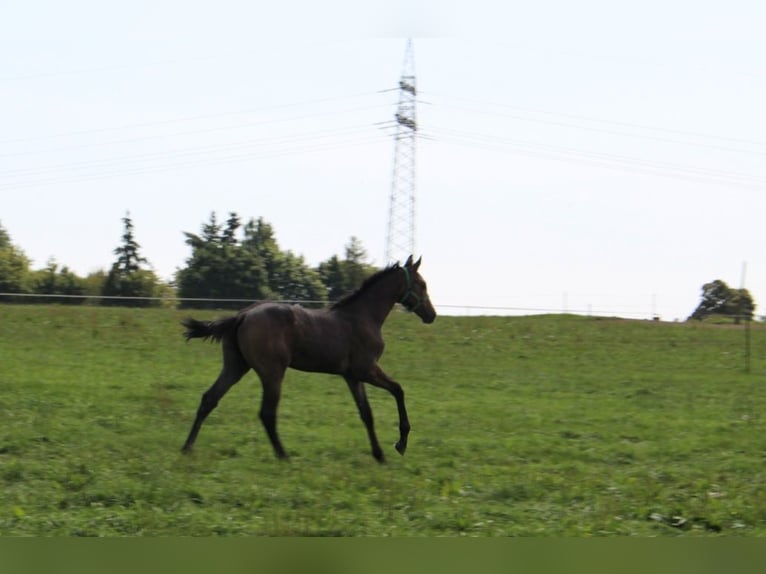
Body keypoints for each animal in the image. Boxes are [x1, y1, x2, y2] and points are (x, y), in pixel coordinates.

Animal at [180, 255, 436, 462]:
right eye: (422, 284)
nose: (431, 315)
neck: (362, 317)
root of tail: (242, 315)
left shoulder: (352, 377)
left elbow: (367, 414)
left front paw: (379, 455)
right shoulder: (367, 369)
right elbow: (398, 390)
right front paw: (400, 444)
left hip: (235, 367)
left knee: (209, 399)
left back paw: (187, 447)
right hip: (272, 372)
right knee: (266, 413)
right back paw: (283, 455)